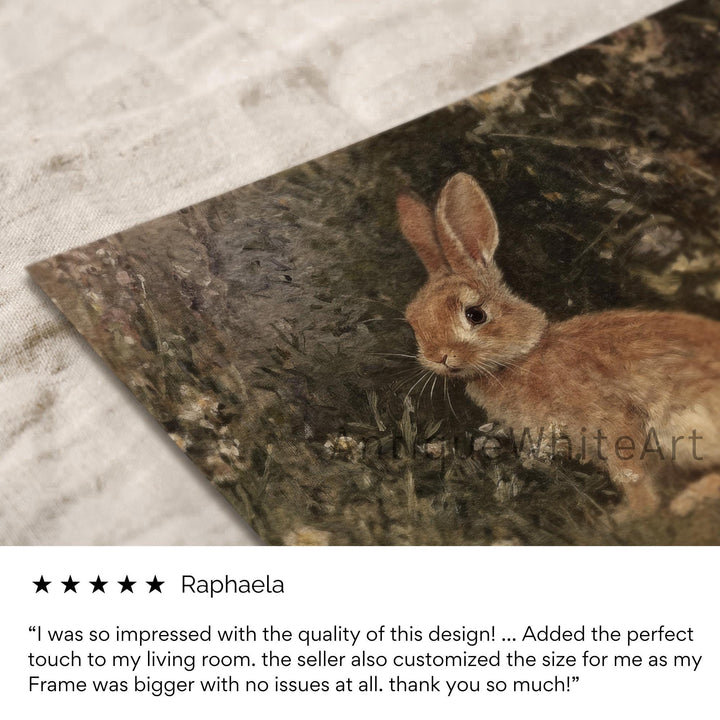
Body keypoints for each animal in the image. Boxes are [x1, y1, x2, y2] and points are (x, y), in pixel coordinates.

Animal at [397, 171, 720, 516]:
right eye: (413, 324)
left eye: (475, 314)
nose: (439, 357)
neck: (523, 358)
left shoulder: (614, 421)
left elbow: (630, 473)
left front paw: (629, 517)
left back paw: (686, 501)